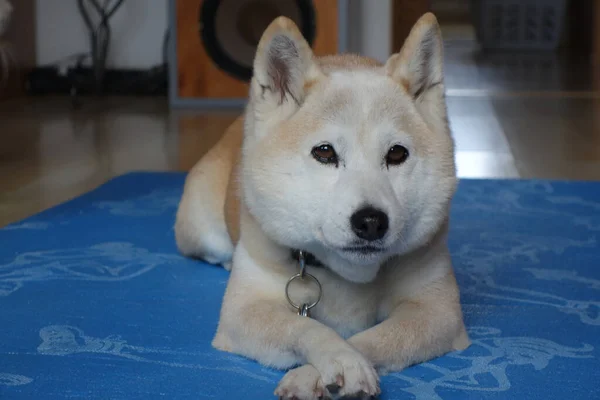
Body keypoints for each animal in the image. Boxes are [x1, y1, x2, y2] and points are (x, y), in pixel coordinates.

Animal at [176, 12, 472, 400]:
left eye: (396, 154)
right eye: (325, 152)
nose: (371, 221)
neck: (349, 273)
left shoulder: (437, 310)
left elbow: (373, 339)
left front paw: (314, 374)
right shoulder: (243, 311)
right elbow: (305, 328)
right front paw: (338, 360)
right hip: (197, 230)